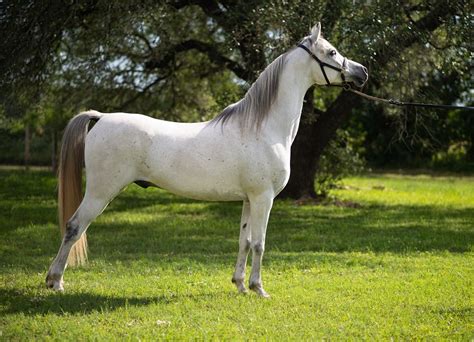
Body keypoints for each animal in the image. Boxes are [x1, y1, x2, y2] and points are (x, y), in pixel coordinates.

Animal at [46, 23, 366, 296]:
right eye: (332, 52)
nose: (362, 71)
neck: (263, 127)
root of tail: (101, 117)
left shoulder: (249, 199)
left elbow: (244, 241)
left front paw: (240, 285)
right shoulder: (263, 198)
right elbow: (259, 244)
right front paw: (259, 288)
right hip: (100, 193)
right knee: (74, 227)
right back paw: (55, 281)